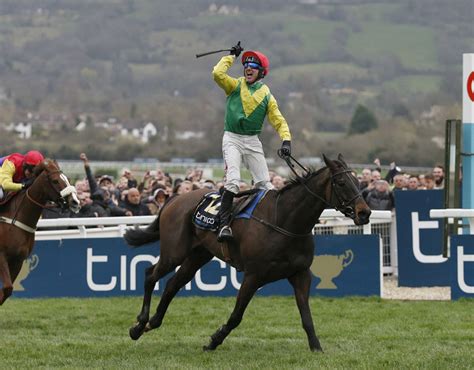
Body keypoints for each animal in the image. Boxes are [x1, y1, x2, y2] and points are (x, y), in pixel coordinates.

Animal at [0, 160, 80, 304]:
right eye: (55, 181)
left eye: (67, 179)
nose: (75, 202)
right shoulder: (1, 256)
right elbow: (7, 287)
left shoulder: (17, 260)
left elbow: (7, 290)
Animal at [124, 155, 372, 352]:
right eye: (341, 182)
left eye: (357, 181)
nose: (365, 212)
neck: (284, 220)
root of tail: (174, 199)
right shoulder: (254, 275)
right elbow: (236, 316)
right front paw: (214, 340)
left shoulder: (300, 274)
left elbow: (306, 316)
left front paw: (316, 347)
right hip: (174, 252)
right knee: (150, 274)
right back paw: (139, 324)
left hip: (198, 255)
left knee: (172, 284)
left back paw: (152, 323)